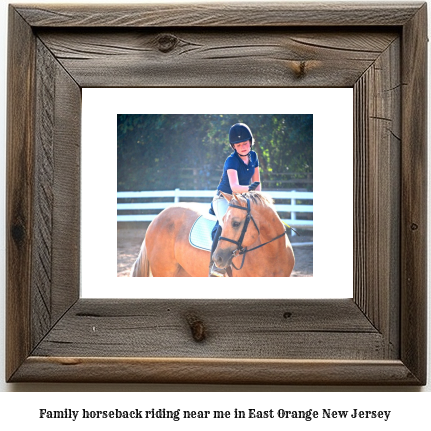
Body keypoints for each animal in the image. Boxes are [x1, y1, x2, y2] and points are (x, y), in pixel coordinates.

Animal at [130, 192, 296, 278]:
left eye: (236, 223)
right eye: (223, 221)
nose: (217, 259)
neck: (272, 254)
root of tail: (157, 218)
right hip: (164, 273)